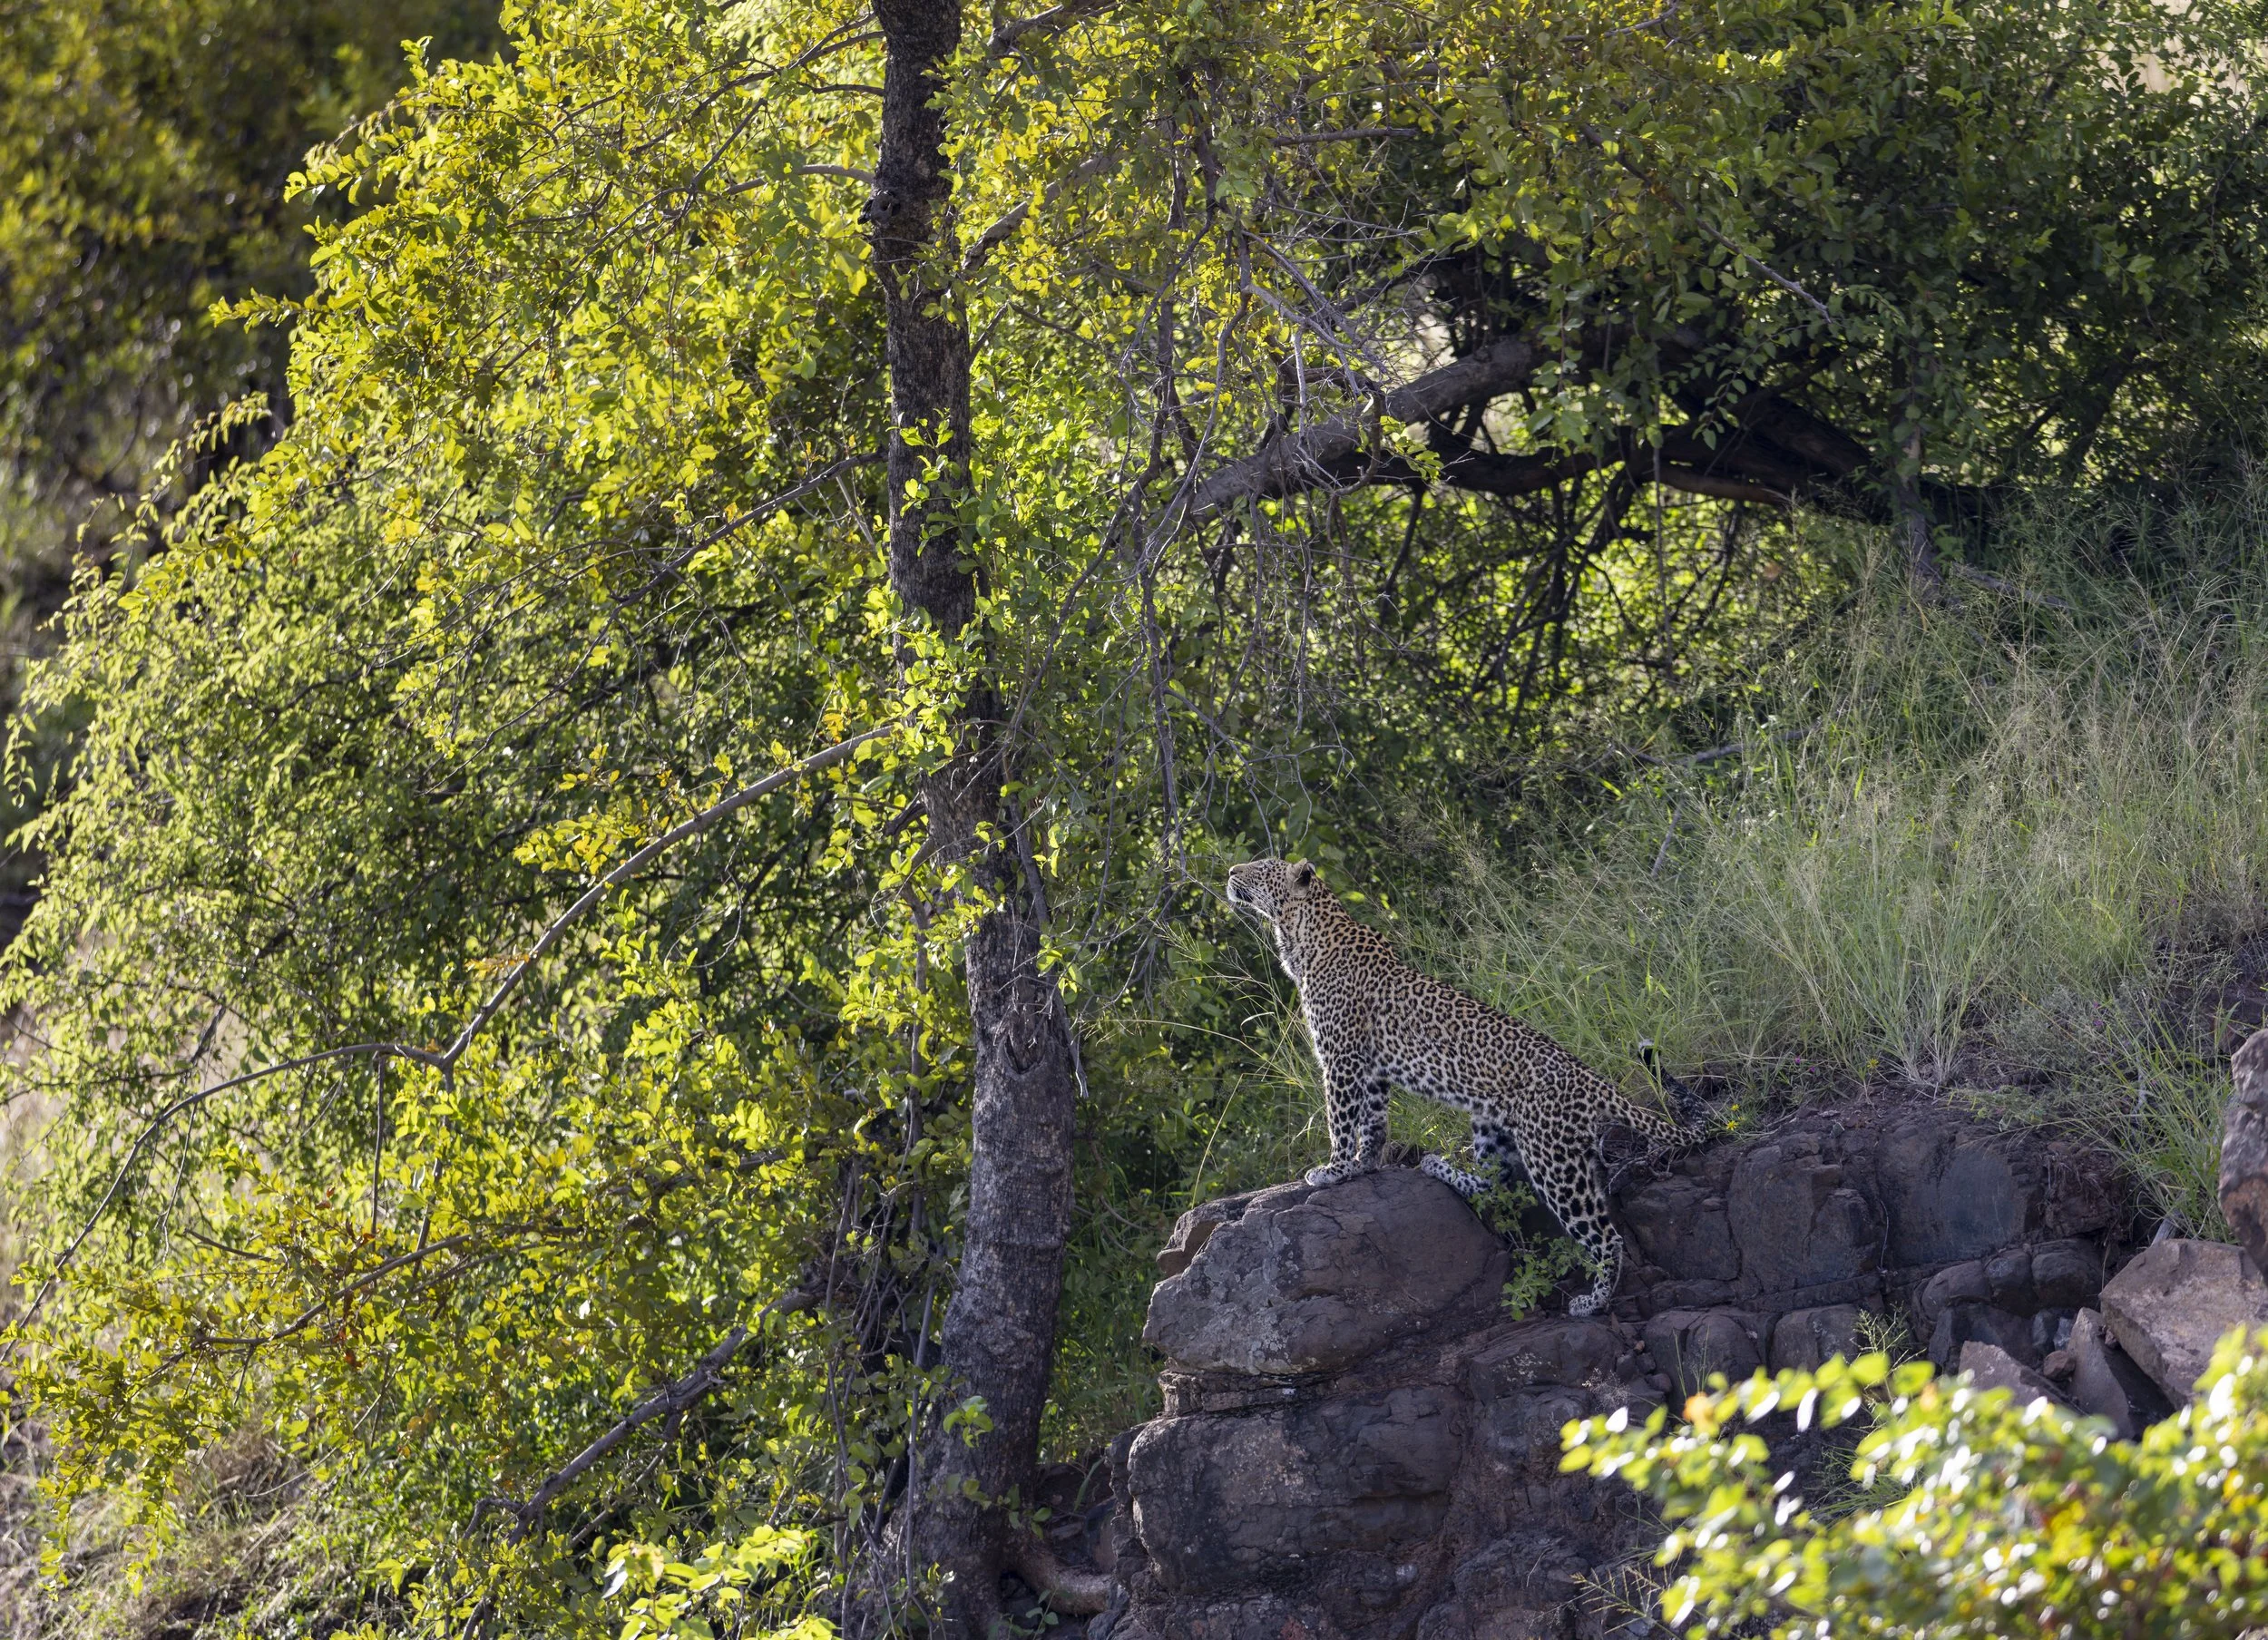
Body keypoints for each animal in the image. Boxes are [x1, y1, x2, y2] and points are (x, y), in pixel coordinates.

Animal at [1224, 856, 1709, 1318]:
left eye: (1260, 868)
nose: (1230, 871)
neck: (1298, 935)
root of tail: (1588, 1075)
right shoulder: (1373, 1069)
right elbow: (1373, 1123)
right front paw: (1364, 1165)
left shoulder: (1342, 1058)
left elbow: (1340, 1119)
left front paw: (1335, 1168)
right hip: (1490, 1124)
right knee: (1497, 1184)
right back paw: (1439, 1167)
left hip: (1554, 1161)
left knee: (1604, 1235)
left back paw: (1594, 1302)